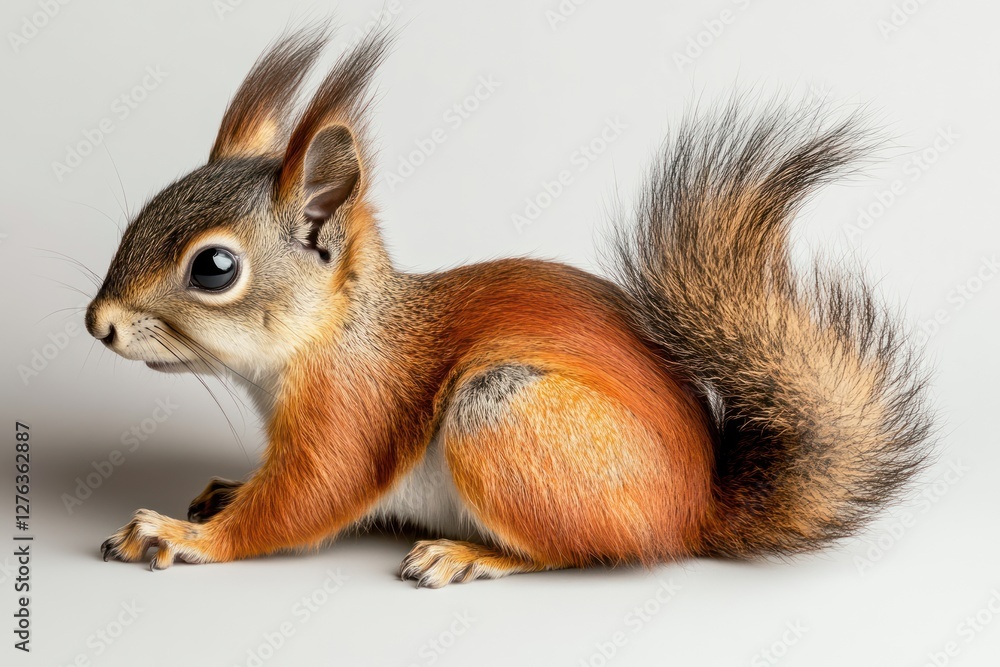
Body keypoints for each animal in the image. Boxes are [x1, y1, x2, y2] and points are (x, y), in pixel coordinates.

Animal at [85, 25, 934, 587]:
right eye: (145, 212)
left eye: (214, 267)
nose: (98, 324)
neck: (336, 331)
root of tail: (695, 509)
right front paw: (224, 490)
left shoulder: (353, 408)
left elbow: (305, 499)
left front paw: (186, 536)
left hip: (501, 411)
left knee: (574, 552)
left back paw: (466, 553)